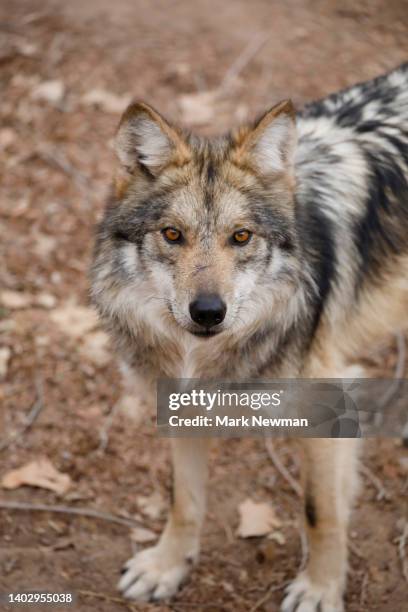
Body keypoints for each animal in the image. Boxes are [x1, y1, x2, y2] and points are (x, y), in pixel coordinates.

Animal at [91, 64, 408, 608]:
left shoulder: (331, 408)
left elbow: (320, 513)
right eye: (172, 235)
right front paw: (167, 567)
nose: (207, 312)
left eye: (241, 237)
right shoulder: (179, 405)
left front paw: (320, 589)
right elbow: (184, 501)